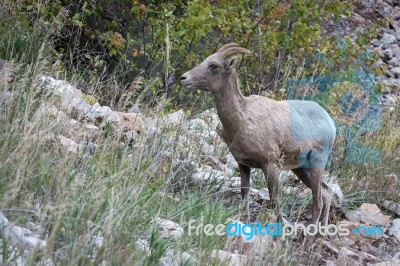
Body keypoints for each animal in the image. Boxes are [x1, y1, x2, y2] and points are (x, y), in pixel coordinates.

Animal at [183, 42, 336, 248]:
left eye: (213, 65)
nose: (184, 78)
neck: (242, 119)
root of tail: (330, 123)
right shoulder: (243, 164)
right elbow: (244, 194)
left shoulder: (269, 165)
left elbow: (274, 200)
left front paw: (281, 236)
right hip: (300, 168)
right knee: (327, 193)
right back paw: (320, 239)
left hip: (316, 164)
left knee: (318, 201)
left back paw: (308, 243)